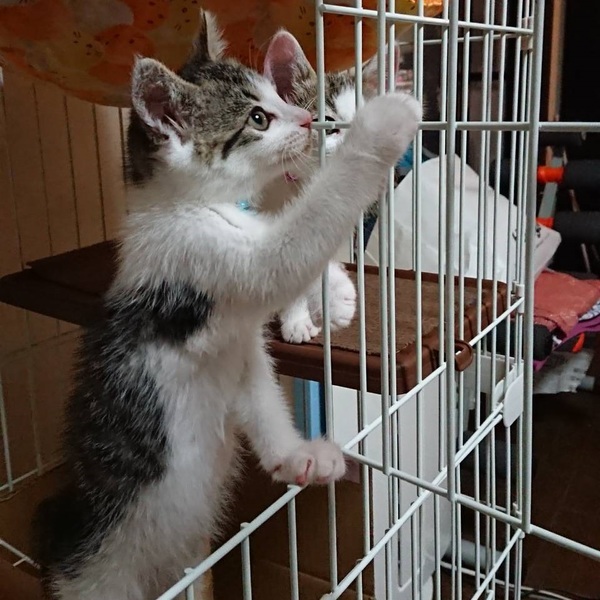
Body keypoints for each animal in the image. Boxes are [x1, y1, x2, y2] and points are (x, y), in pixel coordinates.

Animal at [31, 15, 421, 600]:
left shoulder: (239, 344)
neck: (191, 206)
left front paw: (299, 456)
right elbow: (299, 240)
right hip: (103, 577)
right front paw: (385, 122)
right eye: (259, 117)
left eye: (279, 100)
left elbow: (261, 394)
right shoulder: (206, 260)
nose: (307, 119)